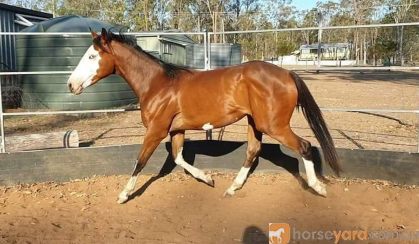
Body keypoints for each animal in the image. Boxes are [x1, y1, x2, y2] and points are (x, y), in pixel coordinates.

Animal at [66, 28, 342, 204]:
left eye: (92, 56)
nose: (71, 85)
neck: (157, 84)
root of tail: (288, 74)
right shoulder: (176, 130)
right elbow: (178, 158)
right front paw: (208, 179)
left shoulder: (156, 130)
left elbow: (140, 161)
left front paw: (124, 195)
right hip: (255, 123)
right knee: (253, 151)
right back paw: (231, 189)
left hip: (273, 125)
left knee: (304, 146)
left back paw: (318, 187)